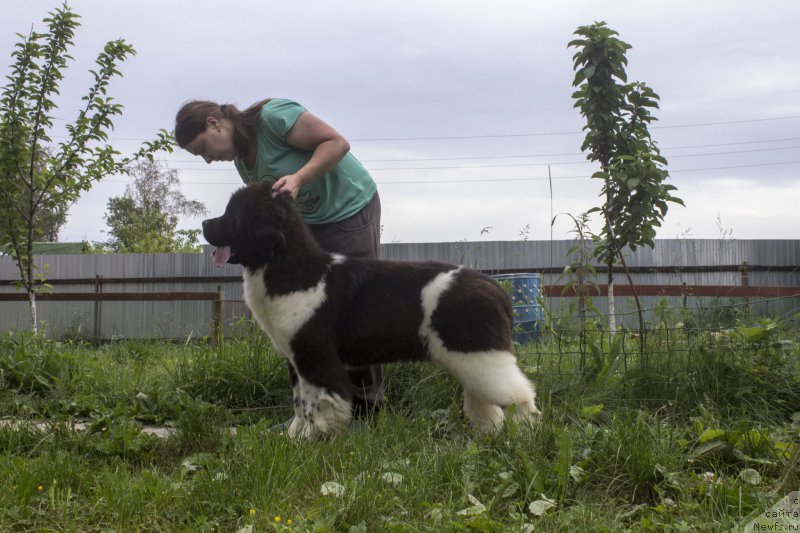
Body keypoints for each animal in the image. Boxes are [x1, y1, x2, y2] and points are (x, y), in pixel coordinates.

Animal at [200, 183, 540, 436]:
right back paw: (487, 434)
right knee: (486, 400)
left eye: (233, 215)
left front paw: (313, 438)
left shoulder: (315, 355)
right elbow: (299, 402)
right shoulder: (295, 359)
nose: (204, 223)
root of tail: (497, 289)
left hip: (477, 353)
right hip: (472, 357)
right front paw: (293, 437)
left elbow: (318, 402)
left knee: (520, 396)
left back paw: (526, 434)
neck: (289, 267)